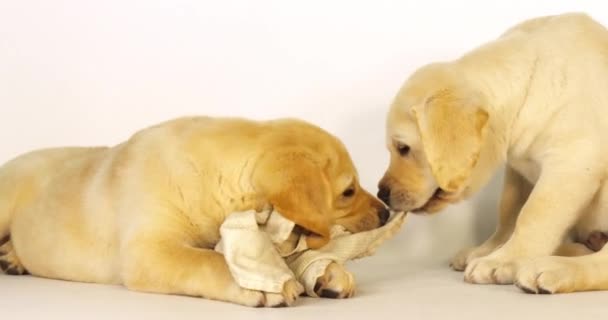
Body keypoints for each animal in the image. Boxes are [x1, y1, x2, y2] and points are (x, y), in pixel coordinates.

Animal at [0, 115, 392, 308]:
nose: (387, 212)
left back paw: (13, 257)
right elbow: (209, 260)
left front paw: (330, 275)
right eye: (348, 191)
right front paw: (260, 284)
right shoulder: (148, 252)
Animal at [378, 11, 608, 292]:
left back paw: (551, 267)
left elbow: (534, 213)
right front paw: (489, 250)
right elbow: (509, 210)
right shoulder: (518, 169)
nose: (381, 193)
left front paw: (504, 260)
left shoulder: (573, 160)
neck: (528, 88)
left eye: (403, 148)